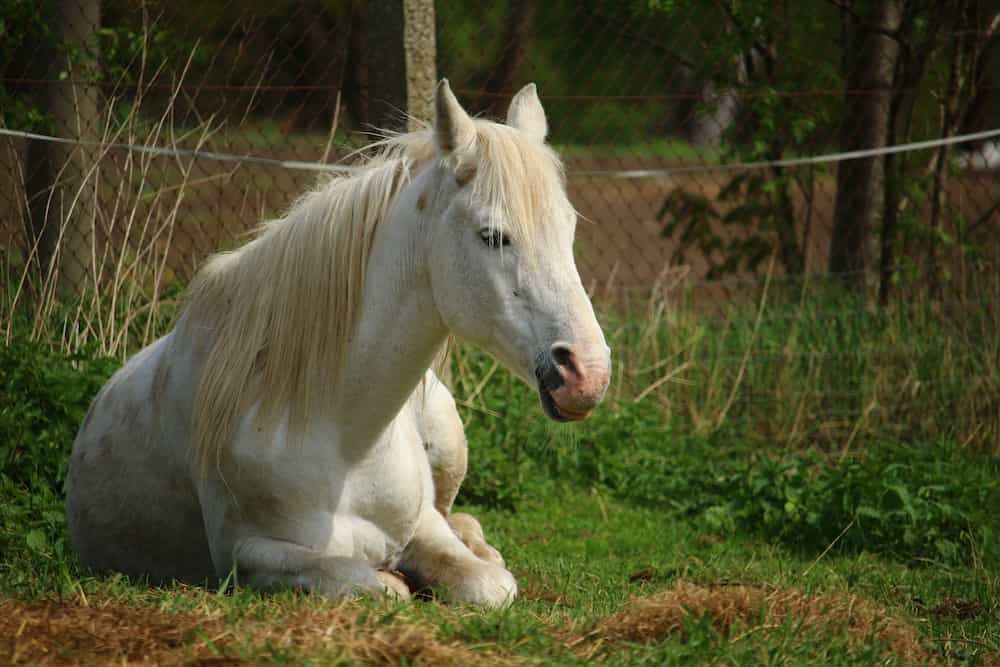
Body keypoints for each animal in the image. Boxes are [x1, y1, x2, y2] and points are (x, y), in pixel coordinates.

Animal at [66, 80, 611, 607]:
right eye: (492, 236)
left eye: (569, 229)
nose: (587, 374)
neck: (346, 439)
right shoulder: (246, 554)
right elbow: (372, 584)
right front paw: (396, 577)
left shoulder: (424, 525)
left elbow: (490, 584)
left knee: (461, 517)